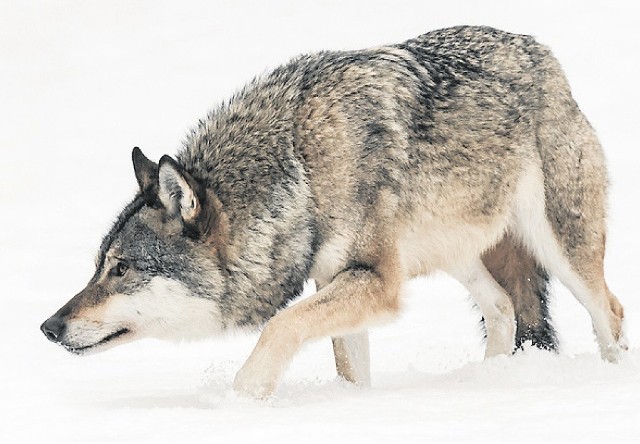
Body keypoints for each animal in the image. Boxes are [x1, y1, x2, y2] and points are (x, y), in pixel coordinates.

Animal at [40, 25, 624, 398]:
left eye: (122, 269)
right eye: (99, 267)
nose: (48, 327)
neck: (301, 170)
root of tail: (540, 51)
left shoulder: (374, 281)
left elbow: (281, 326)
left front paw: (242, 402)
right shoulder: (336, 279)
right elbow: (347, 368)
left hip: (561, 247)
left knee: (610, 311)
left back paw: (610, 383)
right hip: (453, 253)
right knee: (503, 306)